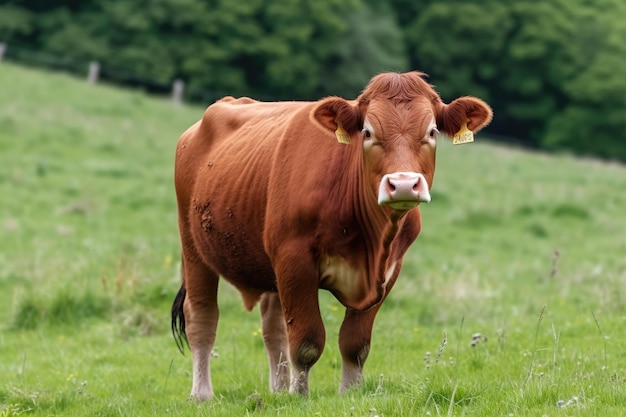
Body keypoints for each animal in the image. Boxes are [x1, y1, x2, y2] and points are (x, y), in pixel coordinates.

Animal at [169, 71, 488, 400]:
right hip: (193, 248)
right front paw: (299, 396)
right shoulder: (294, 260)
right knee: (202, 317)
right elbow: (306, 341)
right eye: (368, 132)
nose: (402, 184)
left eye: (432, 132)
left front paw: (348, 393)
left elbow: (355, 343)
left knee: (273, 328)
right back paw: (202, 394)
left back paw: (277, 390)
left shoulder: (388, 270)